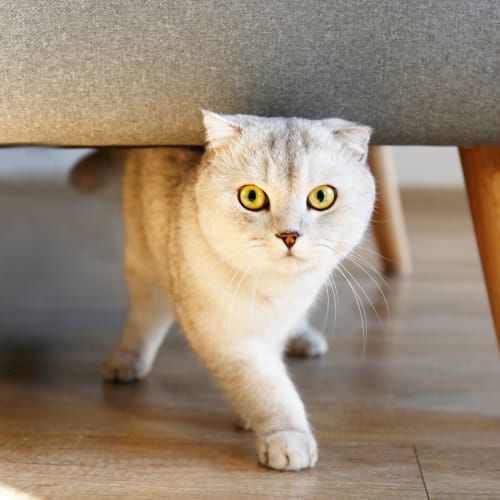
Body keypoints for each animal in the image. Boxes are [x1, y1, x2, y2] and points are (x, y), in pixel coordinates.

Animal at [75, 111, 376, 470]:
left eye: (321, 197)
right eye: (252, 197)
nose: (289, 236)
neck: (279, 291)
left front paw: (248, 414)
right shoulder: (228, 339)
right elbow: (266, 387)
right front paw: (286, 436)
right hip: (144, 260)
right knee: (145, 317)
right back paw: (126, 361)